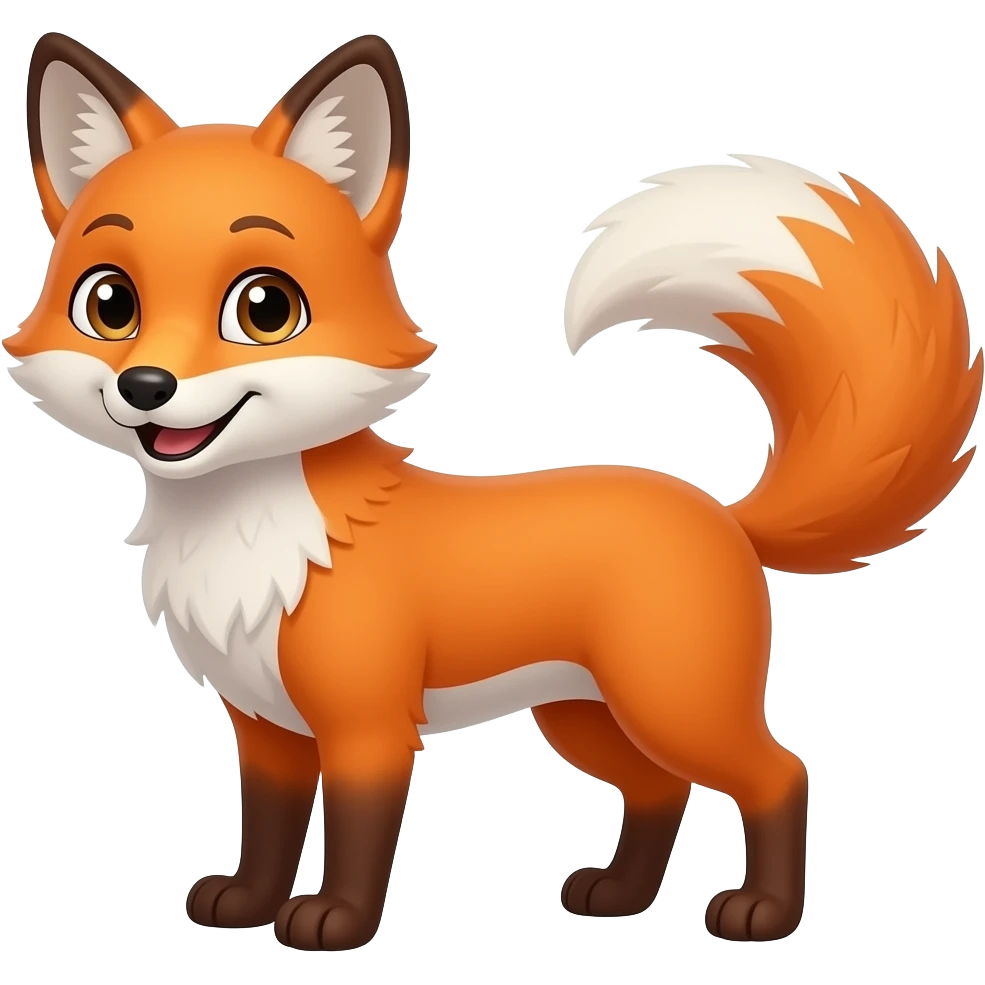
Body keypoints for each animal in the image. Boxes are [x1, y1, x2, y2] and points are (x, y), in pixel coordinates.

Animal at [7, 28, 981, 951]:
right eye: (109, 303)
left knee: (780, 773)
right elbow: (270, 829)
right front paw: (247, 905)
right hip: (585, 717)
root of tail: (720, 511)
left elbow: (357, 835)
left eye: (264, 309)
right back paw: (619, 896)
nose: (146, 386)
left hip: (671, 703)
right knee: (660, 790)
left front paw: (334, 922)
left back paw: (764, 912)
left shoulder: (368, 727)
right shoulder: (267, 727)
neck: (251, 536)